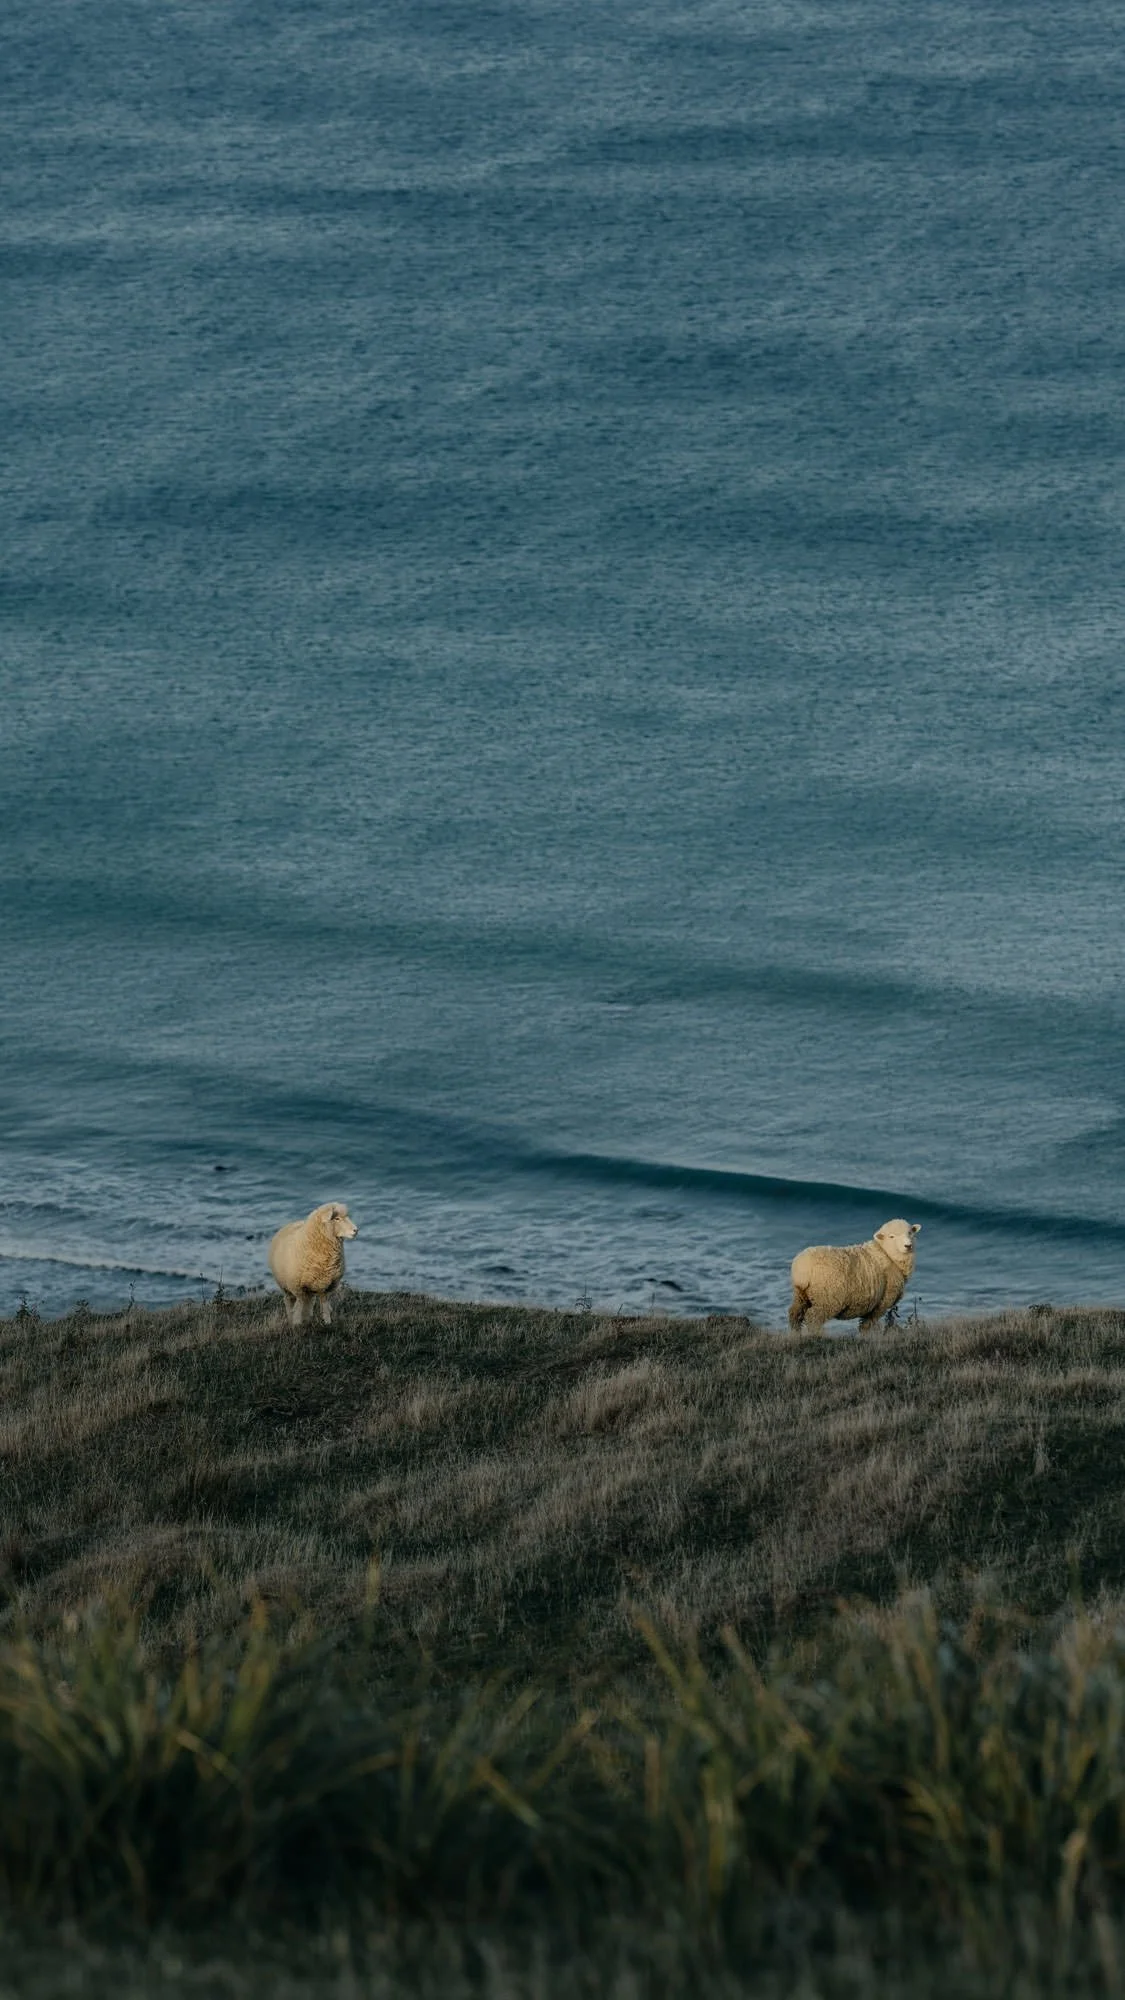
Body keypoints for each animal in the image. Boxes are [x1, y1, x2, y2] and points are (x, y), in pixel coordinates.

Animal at [787, 1219, 921, 1335]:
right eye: (892, 1236)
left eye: (910, 1233)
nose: (908, 1246)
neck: (888, 1254)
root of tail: (802, 1269)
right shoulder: (882, 1302)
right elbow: (868, 1324)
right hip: (827, 1299)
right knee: (813, 1318)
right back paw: (818, 1336)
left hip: (801, 1296)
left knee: (794, 1314)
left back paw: (795, 1335)